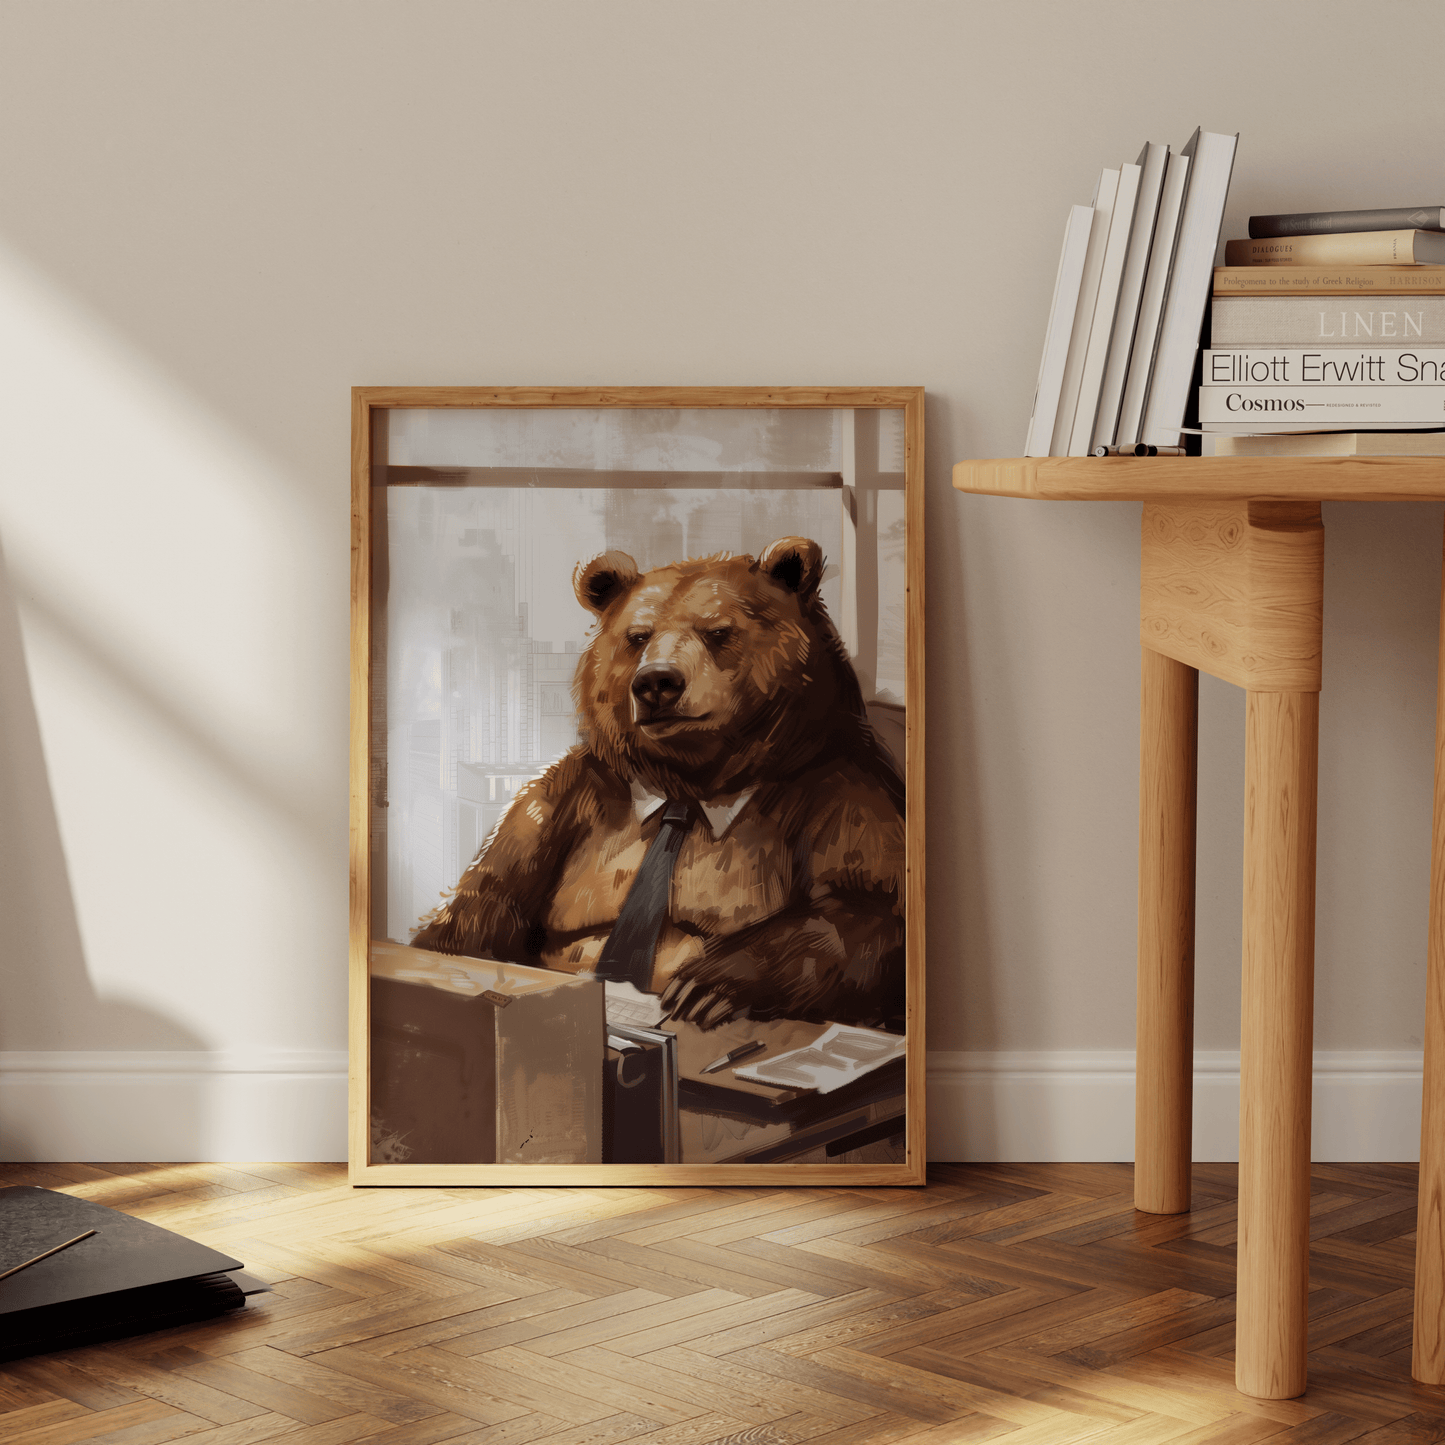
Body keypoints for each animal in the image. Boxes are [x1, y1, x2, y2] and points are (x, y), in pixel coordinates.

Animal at [410, 540, 901, 1028]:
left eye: (718, 631)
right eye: (638, 636)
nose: (657, 682)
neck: (689, 785)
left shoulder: (840, 797)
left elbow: (862, 910)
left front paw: (706, 986)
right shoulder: (560, 805)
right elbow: (476, 913)